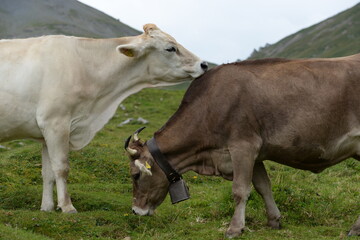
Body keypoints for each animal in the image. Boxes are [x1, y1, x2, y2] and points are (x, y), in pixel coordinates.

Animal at [0, 23, 208, 212]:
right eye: (170, 48)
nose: (204, 64)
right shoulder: (55, 122)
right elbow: (61, 167)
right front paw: (67, 207)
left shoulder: (46, 132)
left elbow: (48, 172)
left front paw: (47, 208)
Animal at [125, 54, 358, 238]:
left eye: (135, 175)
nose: (136, 211)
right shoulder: (257, 154)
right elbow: (263, 187)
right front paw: (274, 220)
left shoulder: (243, 147)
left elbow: (240, 190)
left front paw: (235, 228)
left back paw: (355, 228)